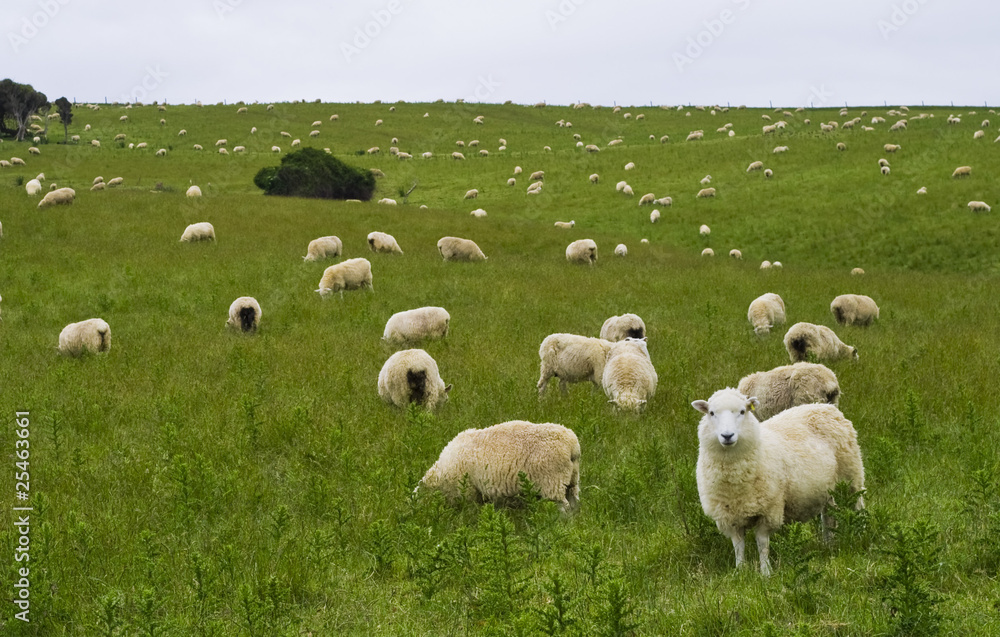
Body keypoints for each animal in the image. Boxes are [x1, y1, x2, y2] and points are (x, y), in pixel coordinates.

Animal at [417, 420, 580, 511]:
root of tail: (572, 445)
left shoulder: (468, 491)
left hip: (552, 481)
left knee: (563, 507)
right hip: (572, 480)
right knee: (574, 504)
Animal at [691, 387, 865, 576]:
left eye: (743, 411)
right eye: (711, 413)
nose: (727, 435)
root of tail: (824, 407)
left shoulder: (769, 510)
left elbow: (762, 543)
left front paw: (766, 572)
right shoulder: (730, 516)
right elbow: (738, 546)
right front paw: (741, 571)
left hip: (852, 476)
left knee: (858, 505)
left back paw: (864, 533)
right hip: (827, 488)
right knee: (829, 513)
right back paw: (829, 543)